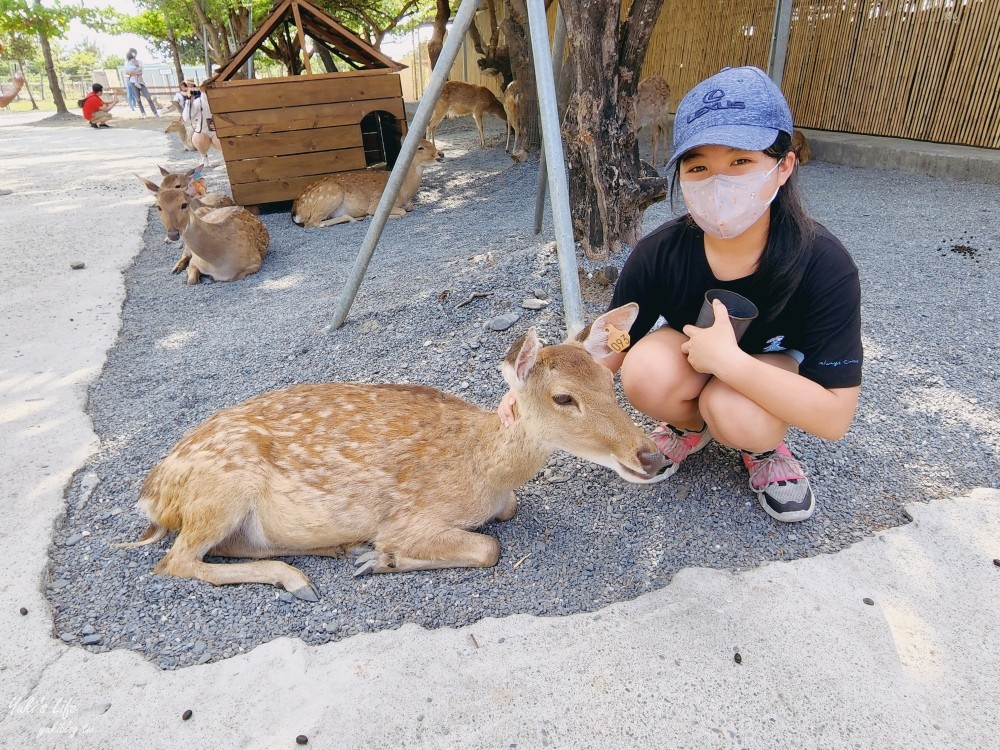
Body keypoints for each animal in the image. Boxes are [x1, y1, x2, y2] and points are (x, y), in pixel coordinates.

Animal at [117, 302, 664, 604]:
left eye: (608, 381)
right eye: (563, 398)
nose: (653, 457)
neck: (484, 472)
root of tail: (150, 496)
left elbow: (507, 514)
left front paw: (373, 556)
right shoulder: (410, 517)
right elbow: (488, 547)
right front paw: (383, 558)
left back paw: (336, 550)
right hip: (221, 490)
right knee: (176, 561)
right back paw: (301, 579)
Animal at [292, 140, 444, 229]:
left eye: (431, 142)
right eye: (420, 147)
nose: (441, 154)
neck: (404, 192)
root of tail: (296, 211)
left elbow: (410, 207)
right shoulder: (377, 202)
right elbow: (402, 212)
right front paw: (372, 216)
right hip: (331, 195)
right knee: (312, 223)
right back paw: (353, 218)